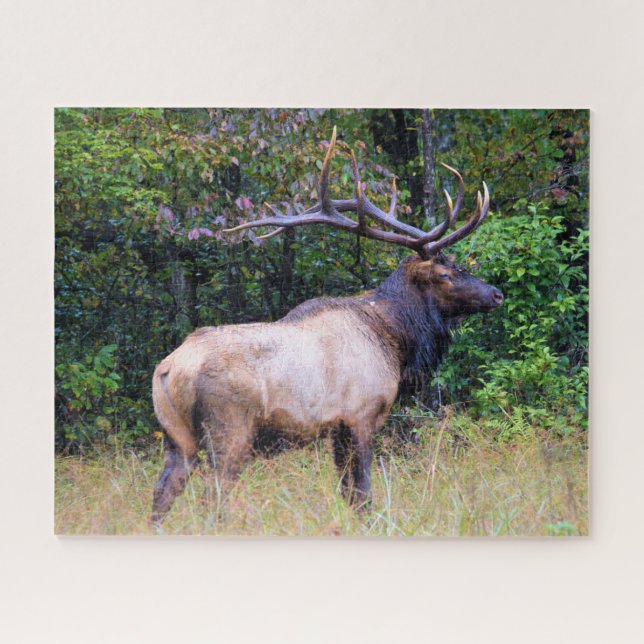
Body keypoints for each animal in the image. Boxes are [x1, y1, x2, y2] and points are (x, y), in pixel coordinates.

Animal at [151, 128, 503, 523]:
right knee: (212, 500)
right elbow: (363, 494)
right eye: (445, 273)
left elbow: (348, 493)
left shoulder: (336, 428)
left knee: (162, 495)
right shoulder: (360, 416)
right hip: (229, 431)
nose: (496, 294)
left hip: (176, 436)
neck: (395, 342)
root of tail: (168, 370)